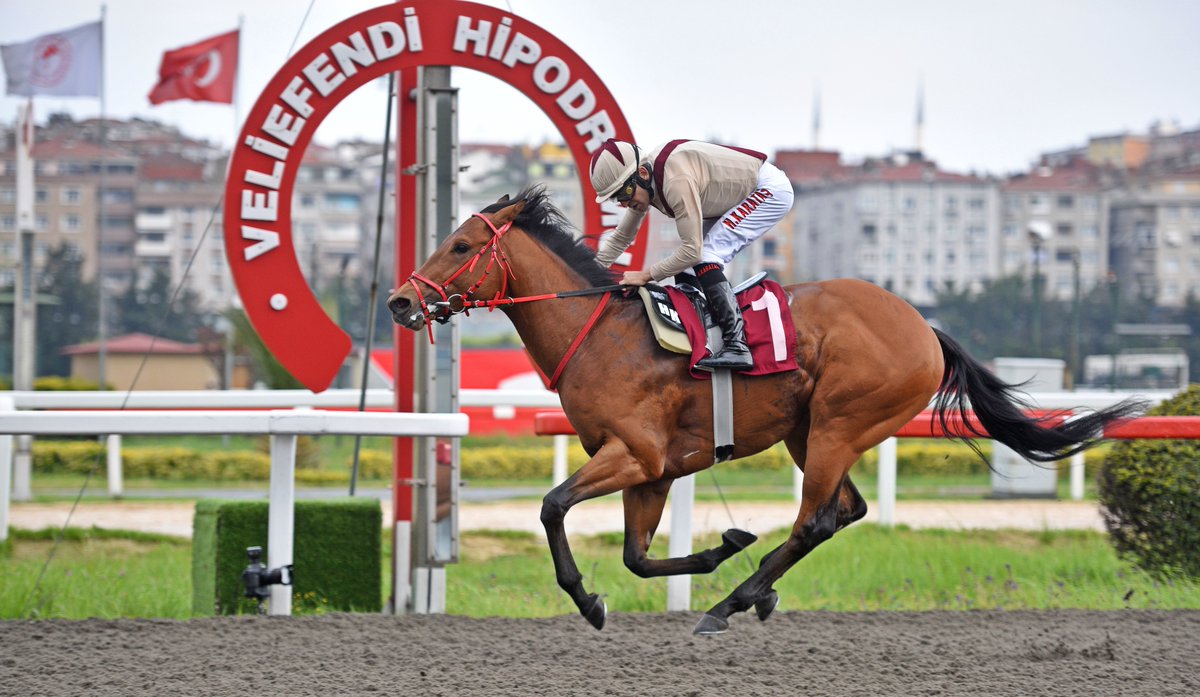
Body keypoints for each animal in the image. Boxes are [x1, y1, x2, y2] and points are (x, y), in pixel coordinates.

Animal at [386, 187, 1142, 633]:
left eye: (459, 245)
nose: (399, 301)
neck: (601, 333)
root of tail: (925, 328)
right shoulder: (654, 470)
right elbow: (636, 557)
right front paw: (720, 545)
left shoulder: (635, 454)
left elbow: (551, 507)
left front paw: (589, 600)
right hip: (811, 433)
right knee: (845, 511)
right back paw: (752, 589)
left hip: (840, 422)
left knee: (816, 519)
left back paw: (733, 602)